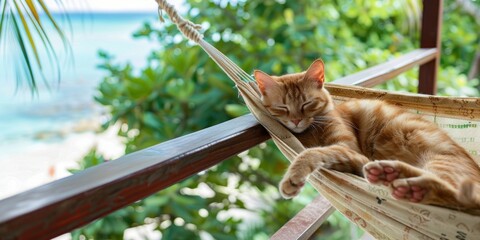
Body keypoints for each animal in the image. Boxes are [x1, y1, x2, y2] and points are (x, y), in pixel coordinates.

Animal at [256, 59, 480, 212]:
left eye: (307, 104)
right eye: (282, 108)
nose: (295, 121)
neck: (311, 131)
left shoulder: (349, 150)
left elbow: (310, 153)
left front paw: (293, 176)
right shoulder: (353, 160)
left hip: (441, 163)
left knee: (463, 197)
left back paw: (409, 186)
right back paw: (390, 174)